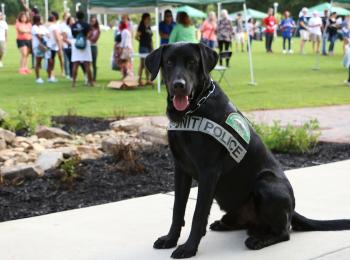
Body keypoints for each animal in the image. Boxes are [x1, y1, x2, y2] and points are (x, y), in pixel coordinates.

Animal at [144, 42, 350, 258]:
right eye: (168, 62)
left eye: (192, 62)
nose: (179, 85)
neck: (191, 111)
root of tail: (292, 210)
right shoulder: (181, 168)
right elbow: (178, 209)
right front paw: (170, 239)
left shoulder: (209, 171)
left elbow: (198, 214)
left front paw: (189, 248)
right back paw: (226, 225)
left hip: (266, 183)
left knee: (284, 232)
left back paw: (259, 240)